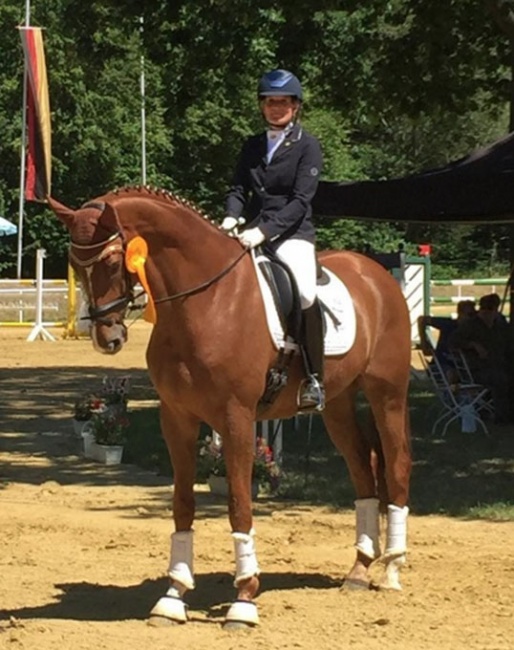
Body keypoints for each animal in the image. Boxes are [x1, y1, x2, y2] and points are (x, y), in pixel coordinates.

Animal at [47, 187, 408, 628]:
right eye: (74, 263)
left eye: (114, 260)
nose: (107, 338)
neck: (206, 301)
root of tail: (376, 274)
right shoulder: (177, 418)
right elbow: (182, 504)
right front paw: (173, 597)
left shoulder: (237, 418)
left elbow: (239, 505)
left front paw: (244, 600)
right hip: (337, 404)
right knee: (363, 468)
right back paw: (358, 571)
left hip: (387, 393)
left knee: (396, 463)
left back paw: (392, 569)